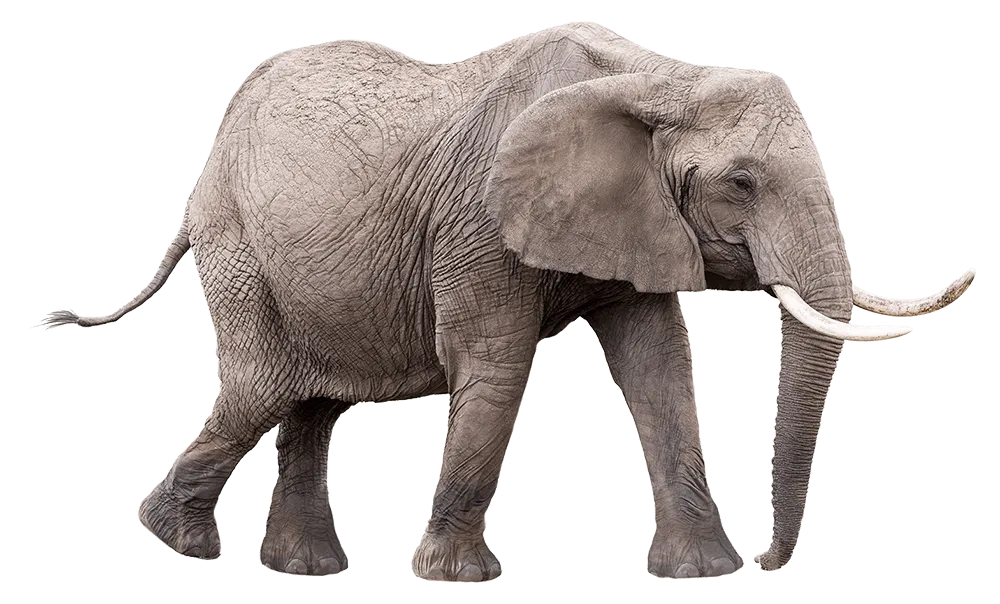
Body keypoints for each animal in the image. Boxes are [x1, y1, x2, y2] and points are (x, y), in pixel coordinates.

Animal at [40, 23, 976, 581]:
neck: (658, 80)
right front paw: (457, 576)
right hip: (239, 242)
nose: (767, 562)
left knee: (309, 399)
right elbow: (494, 366)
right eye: (742, 183)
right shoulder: (481, 219)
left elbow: (660, 369)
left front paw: (702, 572)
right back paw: (180, 541)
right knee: (264, 386)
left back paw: (302, 565)